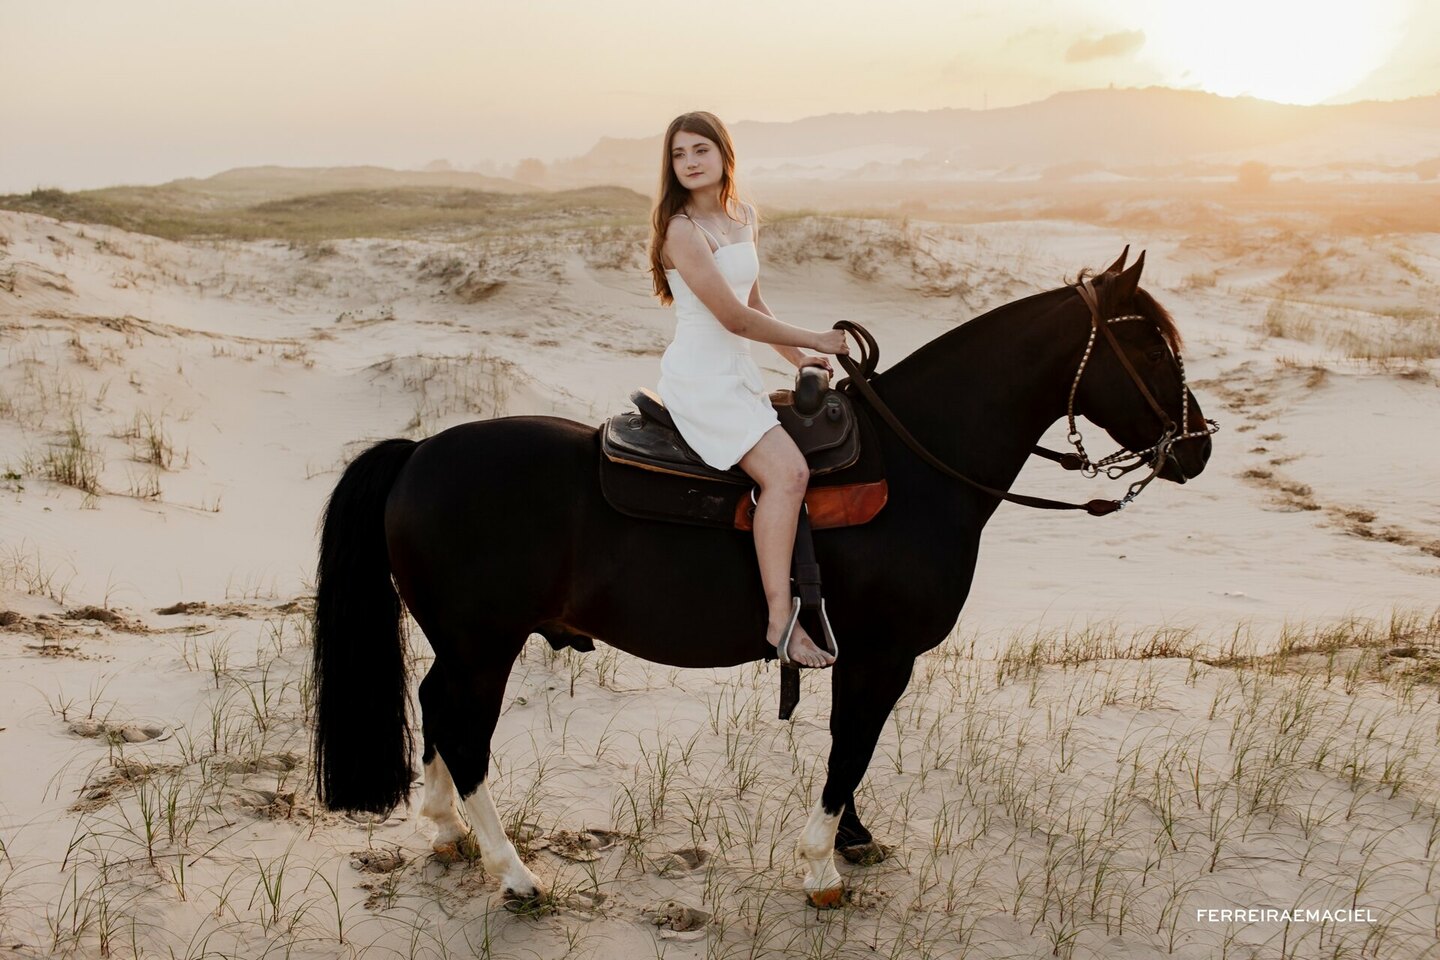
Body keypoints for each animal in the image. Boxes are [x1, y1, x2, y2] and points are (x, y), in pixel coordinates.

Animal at [315, 250, 1215, 909]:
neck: (917, 466)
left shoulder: (864, 658)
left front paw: (853, 839)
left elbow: (850, 748)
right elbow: (851, 747)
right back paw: (514, 872)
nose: (1199, 447)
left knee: (437, 707)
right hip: (486, 645)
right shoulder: (883, 656)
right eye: (1148, 345)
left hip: (464, 646)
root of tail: (418, 454)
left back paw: (447, 832)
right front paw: (822, 867)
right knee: (464, 730)